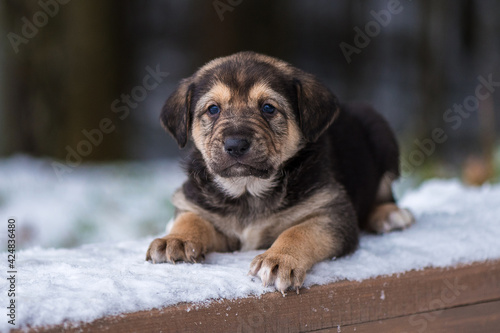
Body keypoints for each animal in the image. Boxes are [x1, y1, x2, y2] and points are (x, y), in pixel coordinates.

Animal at [145, 51, 414, 294]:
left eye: (268, 108)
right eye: (213, 109)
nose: (235, 145)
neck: (248, 190)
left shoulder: (332, 212)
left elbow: (298, 232)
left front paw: (279, 260)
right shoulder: (197, 206)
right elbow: (191, 219)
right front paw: (176, 239)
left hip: (380, 132)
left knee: (384, 193)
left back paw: (390, 215)